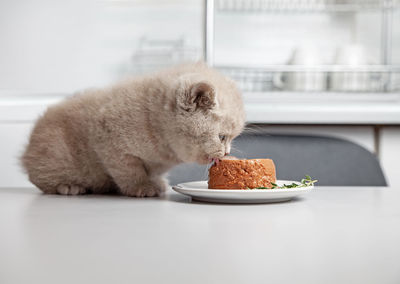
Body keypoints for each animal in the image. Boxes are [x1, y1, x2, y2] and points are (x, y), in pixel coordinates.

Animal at [22, 62, 247, 196]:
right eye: (222, 136)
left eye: (230, 138)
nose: (226, 152)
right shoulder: (108, 139)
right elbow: (129, 170)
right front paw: (142, 187)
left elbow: (151, 172)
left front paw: (156, 182)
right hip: (54, 153)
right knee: (42, 180)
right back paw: (69, 186)